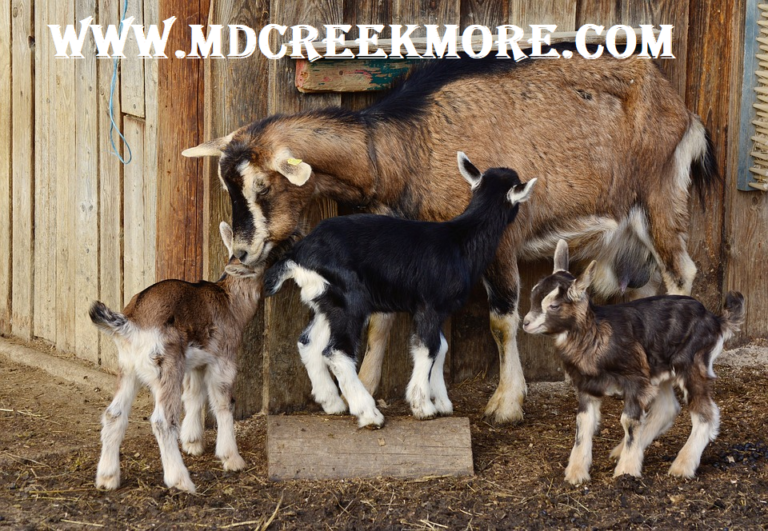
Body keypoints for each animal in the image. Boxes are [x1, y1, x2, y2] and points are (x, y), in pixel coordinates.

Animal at [90, 222, 260, 493]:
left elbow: (194, 395)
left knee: (113, 414)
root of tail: (130, 324)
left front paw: (193, 443)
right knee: (162, 420)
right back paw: (180, 480)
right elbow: (223, 403)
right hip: (166, 366)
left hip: (128, 368)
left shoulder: (196, 362)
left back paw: (107, 478)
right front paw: (231, 458)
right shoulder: (224, 359)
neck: (230, 302)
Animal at [263, 154, 536, 427]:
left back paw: (332, 403)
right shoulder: (429, 306)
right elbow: (429, 348)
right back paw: (368, 413)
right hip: (350, 301)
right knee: (336, 351)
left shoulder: (435, 310)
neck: (460, 240)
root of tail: (298, 255)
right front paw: (422, 406)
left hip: (326, 302)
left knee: (308, 343)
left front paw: (442, 402)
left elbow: (441, 347)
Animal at [522, 240, 744, 484]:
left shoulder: (635, 381)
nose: (526, 323)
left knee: (706, 414)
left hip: (692, 364)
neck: (596, 334)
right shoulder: (587, 386)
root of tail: (715, 320)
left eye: (553, 305)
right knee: (667, 408)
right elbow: (583, 423)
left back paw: (682, 466)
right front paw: (576, 473)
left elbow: (629, 422)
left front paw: (626, 471)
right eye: (533, 297)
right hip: (658, 370)